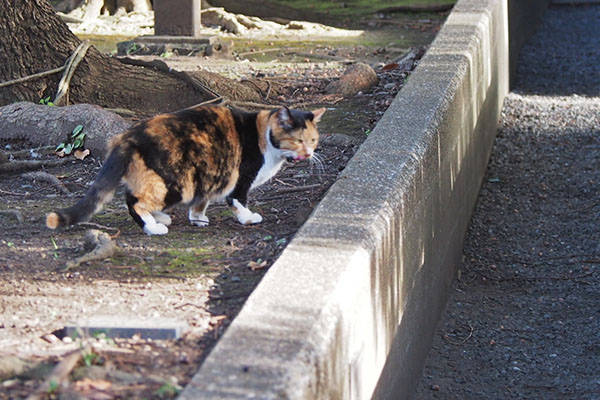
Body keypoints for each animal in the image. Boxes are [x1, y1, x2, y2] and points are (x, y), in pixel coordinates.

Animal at [45, 104, 326, 234]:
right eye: (298, 140)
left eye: (313, 140)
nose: (309, 153)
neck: (264, 137)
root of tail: (127, 138)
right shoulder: (240, 179)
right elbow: (237, 201)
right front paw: (248, 218)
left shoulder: (210, 177)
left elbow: (202, 202)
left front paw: (198, 218)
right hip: (175, 183)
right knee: (136, 202)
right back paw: (153, 227)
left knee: (132, 196)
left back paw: (159, 218)